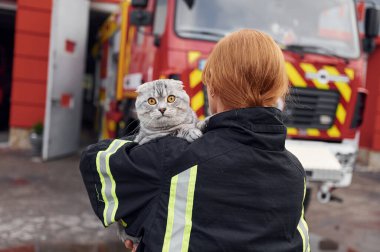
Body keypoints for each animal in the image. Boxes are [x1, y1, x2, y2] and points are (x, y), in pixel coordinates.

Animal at [117, 78, 206, 244]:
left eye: (171, 98)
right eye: (151, 101)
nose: (162, 109)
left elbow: (197, 122)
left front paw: (202, 123)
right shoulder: (152, 138)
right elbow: (179, 129)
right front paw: (190, 131)